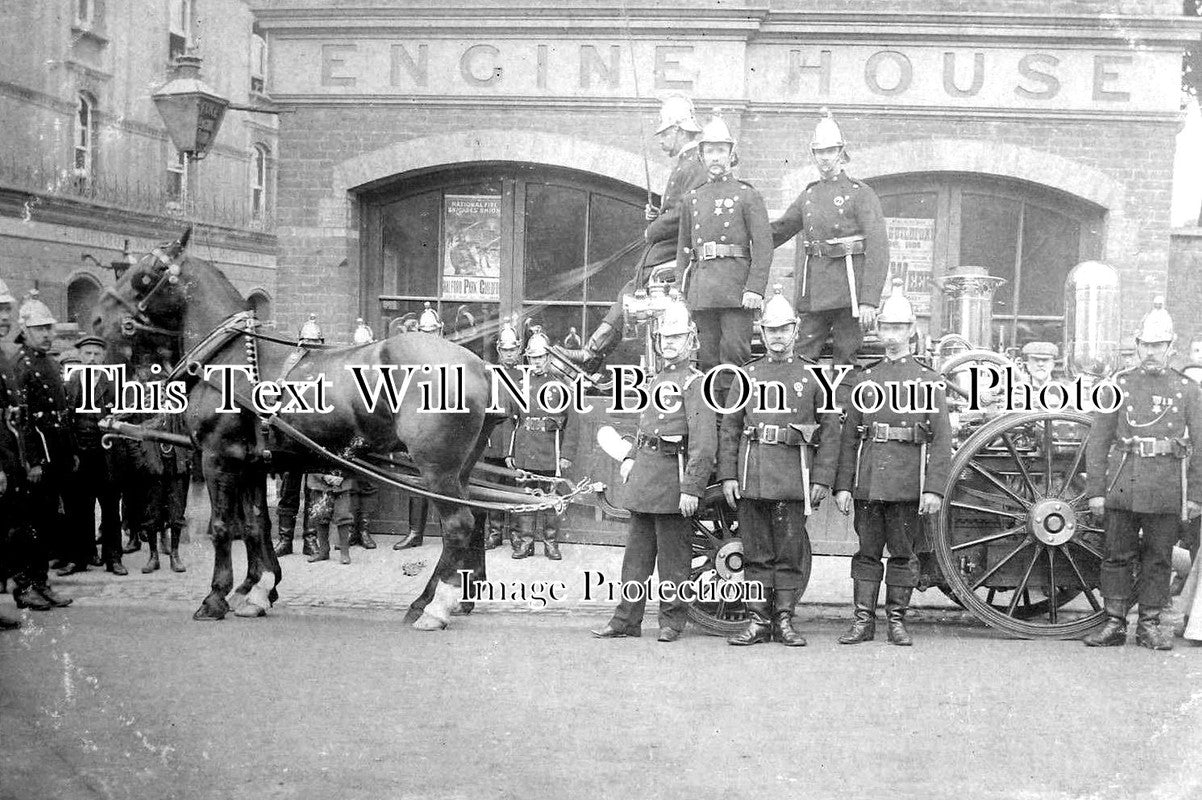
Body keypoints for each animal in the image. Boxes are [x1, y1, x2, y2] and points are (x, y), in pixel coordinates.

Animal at [91, 227, 497, 624]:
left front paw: (216, 597)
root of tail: (479, 365)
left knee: (459, 525)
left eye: (147, 274)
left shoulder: (216, 457)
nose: (97, 319)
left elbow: (222, 527)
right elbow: (256, 524)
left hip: (436, 468)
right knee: (475, 515)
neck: (228, 357)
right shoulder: (252, 462)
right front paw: (259, 590)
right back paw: (439, 598)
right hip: (459, 470)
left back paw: (435, 606)